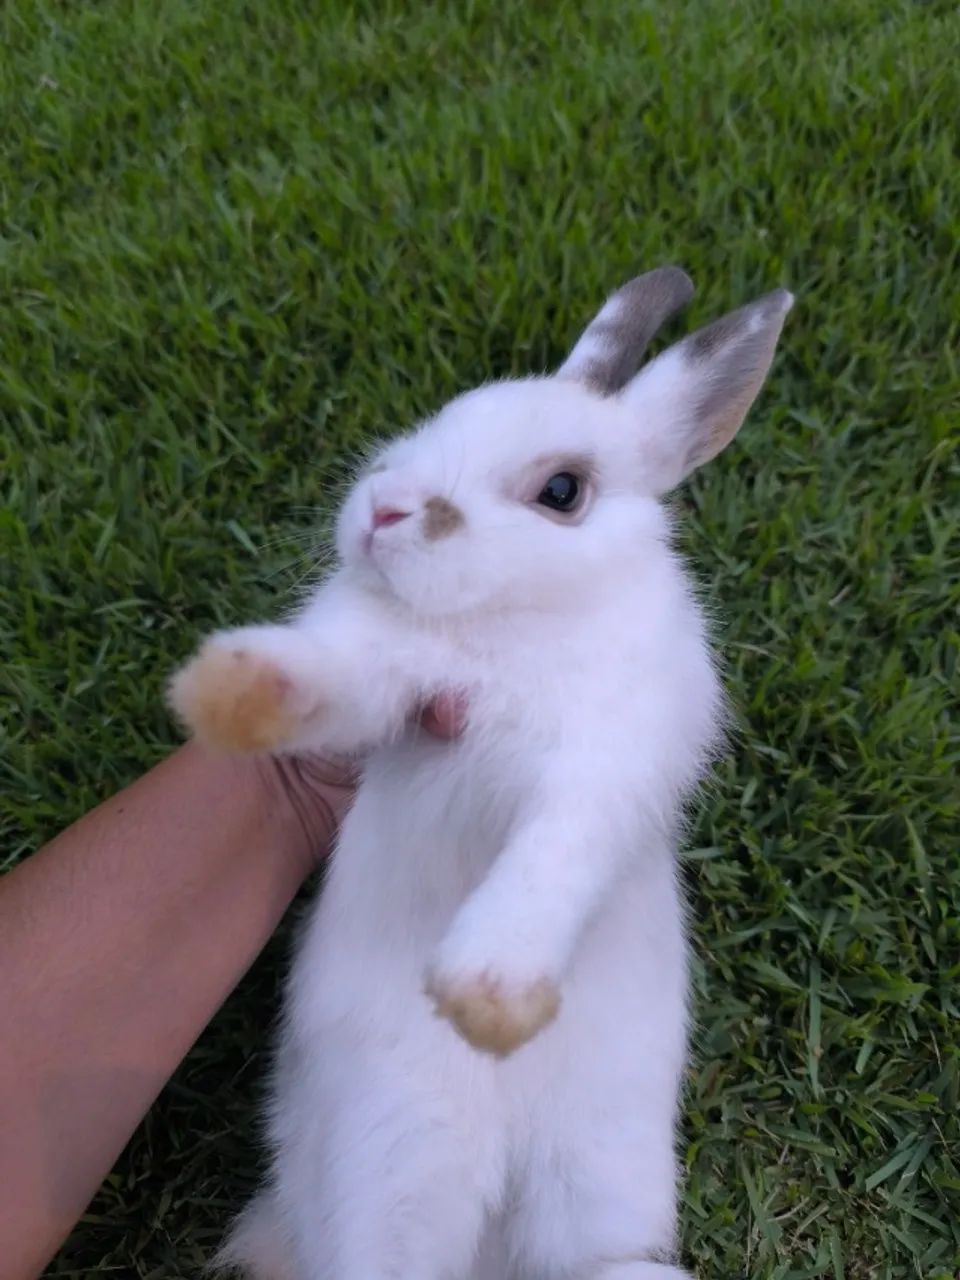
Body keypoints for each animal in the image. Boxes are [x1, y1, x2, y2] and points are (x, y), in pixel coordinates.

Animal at [170, 266, 793, 1280]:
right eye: (439, 417)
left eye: (562, 490)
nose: (383, 509)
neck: (513, 620)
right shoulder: (388, 682)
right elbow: (331, 680)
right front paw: (230, 690)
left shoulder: (608, 767)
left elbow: (552, 859)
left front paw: (490, 1001)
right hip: (395, 1158)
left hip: (595, 1174)